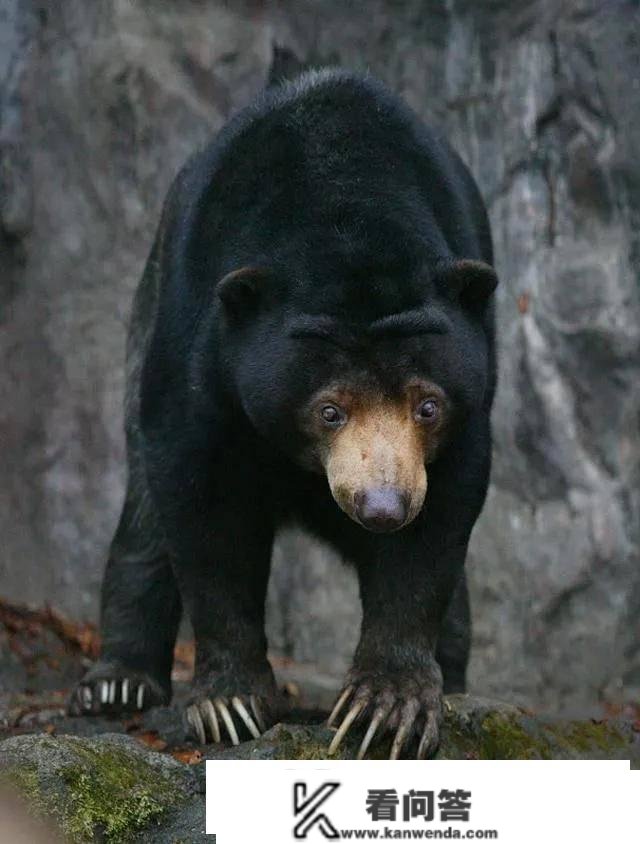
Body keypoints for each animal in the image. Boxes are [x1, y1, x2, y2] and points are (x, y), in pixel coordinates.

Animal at [71, 69, 500, 760]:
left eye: (428, 406)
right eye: (329, 410)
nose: (383, 508)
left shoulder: (468, 398)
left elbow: (438, 527)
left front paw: (389, 709)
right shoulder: (203, 340)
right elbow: (199, 499)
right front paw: (230, 706)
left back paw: (457, 680)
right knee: (142, 509)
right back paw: (116, 685)